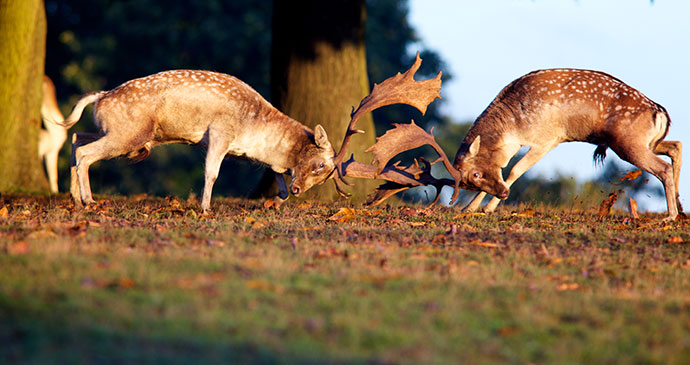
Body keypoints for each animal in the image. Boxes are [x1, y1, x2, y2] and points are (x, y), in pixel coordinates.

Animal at [55, 69, 334, 212]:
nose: (298, 190)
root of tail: (100, 97)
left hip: (115, 132)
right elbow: (211, 172)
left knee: (77, 138)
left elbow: (275, 173)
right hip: (127, 135)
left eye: (327, 174)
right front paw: (205, 208)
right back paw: (89, 200)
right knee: (84, 153)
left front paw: (276, 199)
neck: (254, 130)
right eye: (320, 164)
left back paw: (74, 198)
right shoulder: (221, 132)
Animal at [448, 69, 680, 220]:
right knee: (675, 146)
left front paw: (486, 208)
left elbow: (514, 170)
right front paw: (469, 208)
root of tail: (660, 113)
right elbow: (503, 170)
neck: (514, 126)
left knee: (663, 167)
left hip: (628, 143)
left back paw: (670, 216)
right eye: (469, 182)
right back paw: (679, 207)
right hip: (646, 142)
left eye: (475, 174)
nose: (504, 194)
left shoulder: (547, 139)